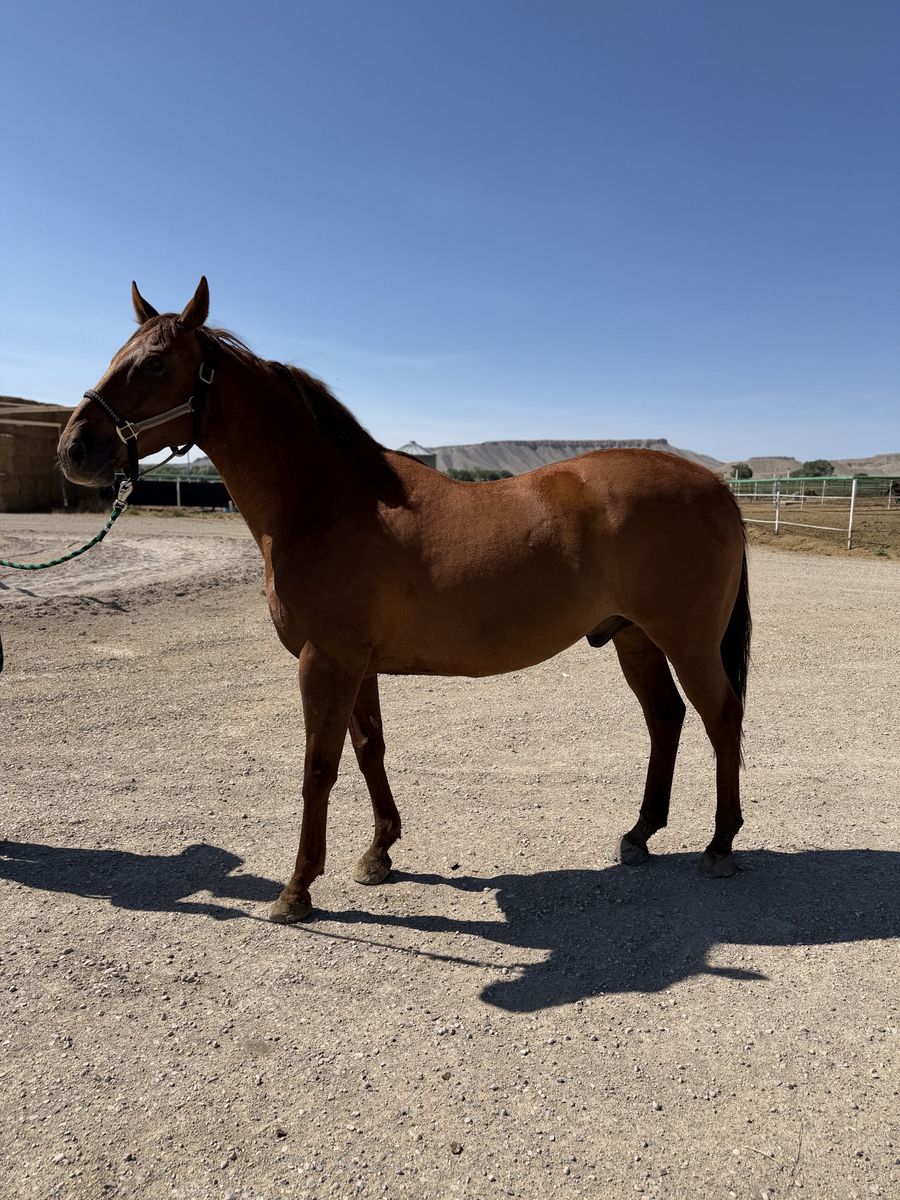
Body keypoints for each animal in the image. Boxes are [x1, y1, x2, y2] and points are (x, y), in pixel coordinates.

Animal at [58, 278, 751, 924]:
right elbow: (369, 751)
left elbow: (319, 768)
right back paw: (640, 834)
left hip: (687, 642)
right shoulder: (356, 665)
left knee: (721, 718)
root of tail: (716, 486)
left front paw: (296, 890)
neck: (328, 505)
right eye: (118, 354)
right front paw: (378, 854)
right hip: (635, 638)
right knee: (666, 718)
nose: (74, 449)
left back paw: (720, 845)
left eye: (154, 363)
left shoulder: (325, 661)